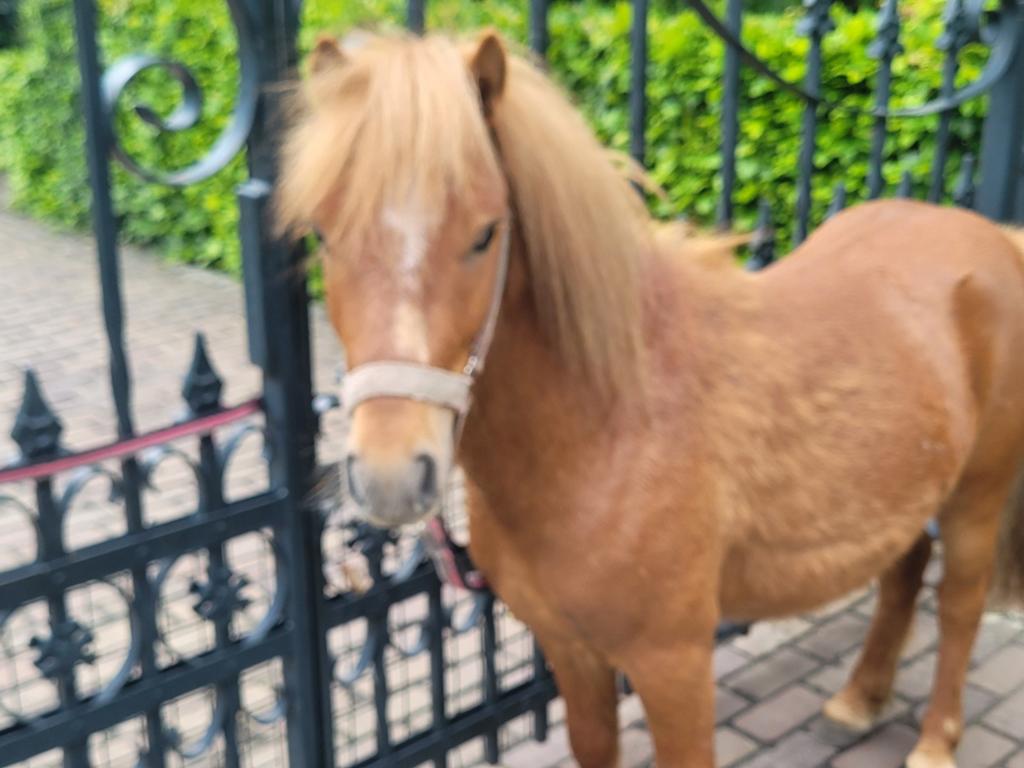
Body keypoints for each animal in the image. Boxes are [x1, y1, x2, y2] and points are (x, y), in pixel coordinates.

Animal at [275, 29, 1024, 768]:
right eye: (323, 235)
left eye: (485, 234)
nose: (391, 476)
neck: (609, 429)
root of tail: (994, 239)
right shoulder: (571, 652)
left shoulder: (674, 665)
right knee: (903, 574)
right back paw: (860, 697)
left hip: (977, 496)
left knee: (959, 604)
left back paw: (934, 742)